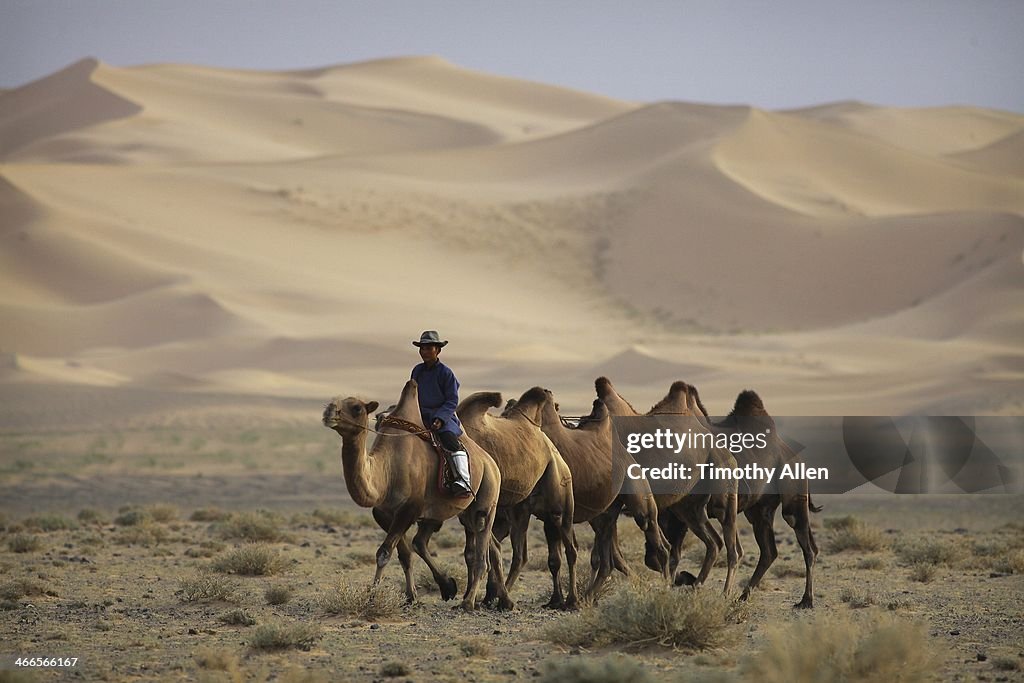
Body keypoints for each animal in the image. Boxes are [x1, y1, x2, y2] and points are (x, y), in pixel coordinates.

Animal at [319, 382, 512, 610]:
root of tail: (489, 461)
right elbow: (404, 554)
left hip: (487, 496)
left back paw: (468, 603)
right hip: (463, 512)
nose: (329, 411)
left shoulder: (409, 509)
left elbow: (384, 553)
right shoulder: (384, 513)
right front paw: (415, 596)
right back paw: (503, 601)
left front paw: (372, 598)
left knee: (483, 550)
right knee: (491, 546)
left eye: (357, 408)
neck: (386, 472)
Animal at [460, 393, 581, 610]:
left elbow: (490, 550)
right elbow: (478, 552)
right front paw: (484, 598)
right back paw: (501, 597)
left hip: (559, 494)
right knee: (520, 554)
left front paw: (476, 599)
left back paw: (572, 601)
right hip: (519, 509)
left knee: (570, 546)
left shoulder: (480, 507)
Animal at [505, 385, 671, 598]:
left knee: (654, 536)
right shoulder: (536, 512)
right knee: (608, 558)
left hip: (637, 493)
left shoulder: (553, 511)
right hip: (605, 512)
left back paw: (665, 587)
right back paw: (589, 595)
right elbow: (549, 559)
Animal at [598, 376, 741, 593]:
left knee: (731, 544)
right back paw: (696, 584)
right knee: (714, 541)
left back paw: (725, 592)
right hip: (688, 505)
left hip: (722, 487)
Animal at [675, 385, 819, 610]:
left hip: (792, 494)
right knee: (769, 551)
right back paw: (743, 595)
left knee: (807, 545)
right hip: (759, 510)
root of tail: (795, 456)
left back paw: (806, 600)